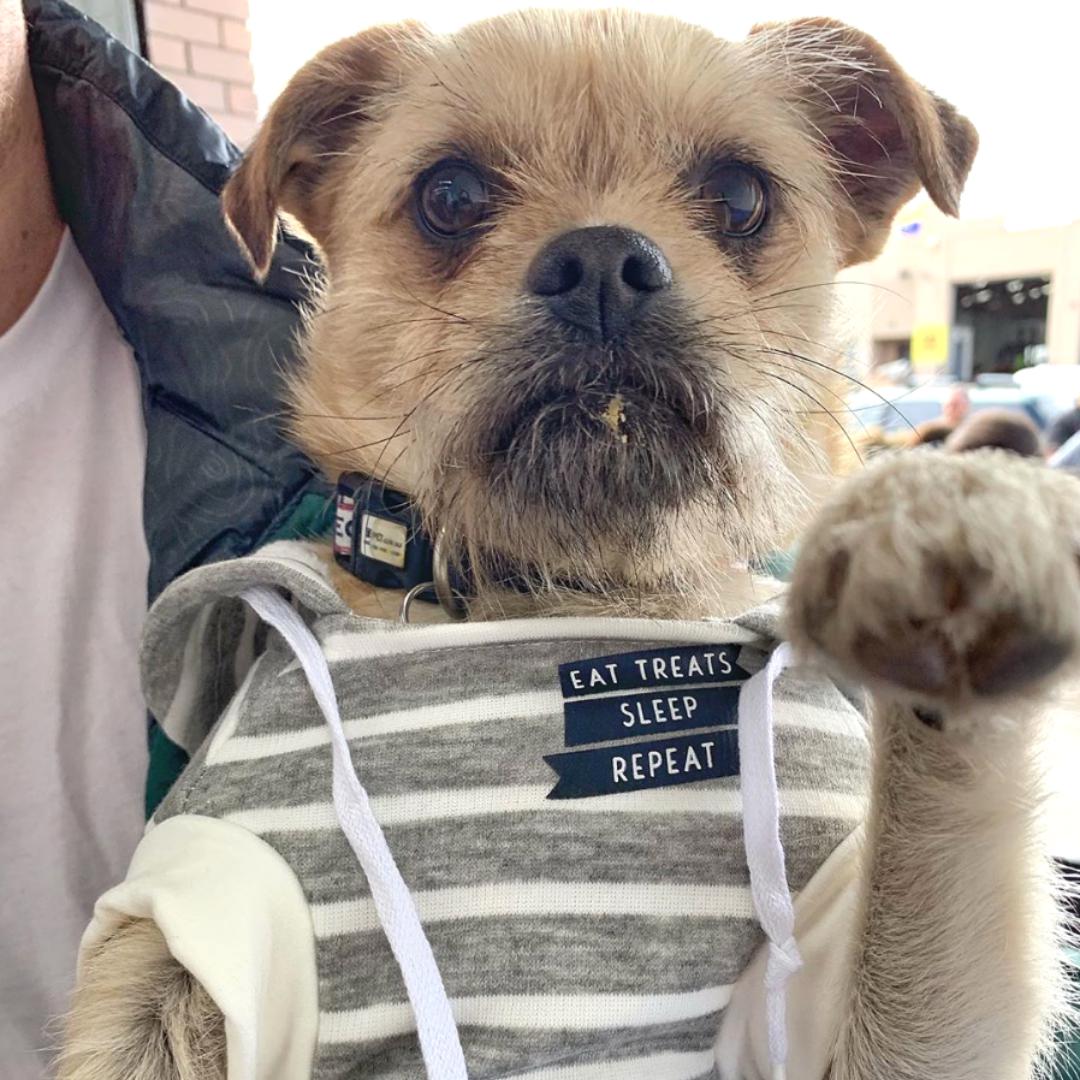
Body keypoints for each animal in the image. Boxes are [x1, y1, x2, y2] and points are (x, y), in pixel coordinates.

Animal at [56, 10, 1080, 1080]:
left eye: (742, 195)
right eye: (449, 195)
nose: (602, 263)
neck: (563, 586)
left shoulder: (858, 1031)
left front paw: (952, 536)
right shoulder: (199, 916)